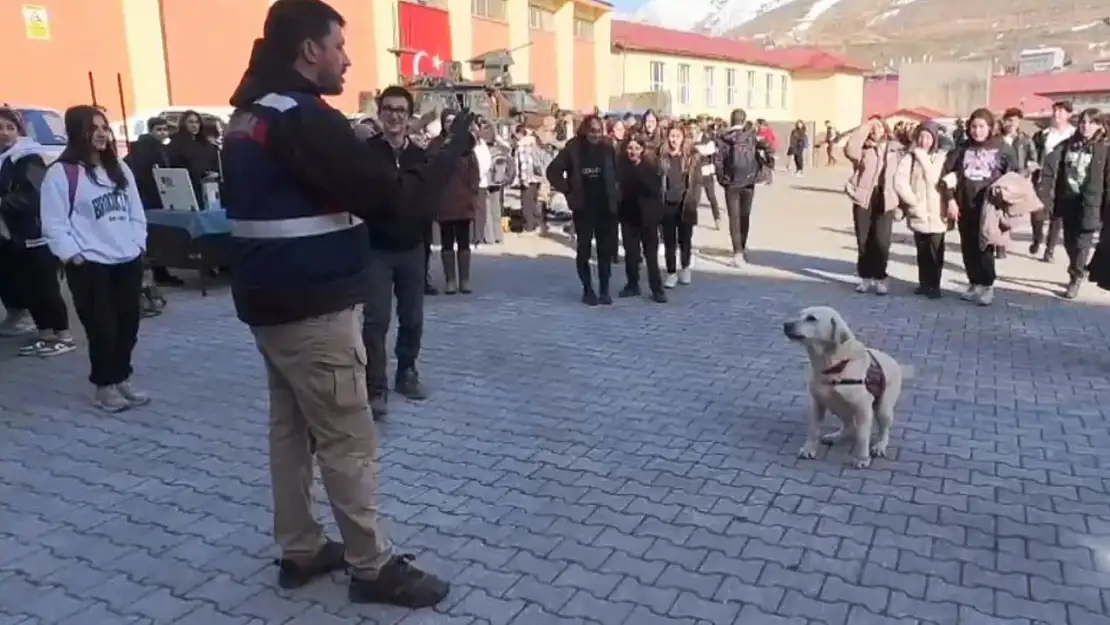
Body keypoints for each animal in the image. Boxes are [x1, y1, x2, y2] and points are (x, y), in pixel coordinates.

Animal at [785, 306, 905, 466]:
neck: (834, 365)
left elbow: (862, 436)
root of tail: (895, 362)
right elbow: (813, 429)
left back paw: (880, 446)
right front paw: (808, 449)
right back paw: (836, 436)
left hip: (883, 408)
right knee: (849, 425)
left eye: (811, 318)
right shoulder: (816, 402)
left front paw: (862, 458)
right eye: (799, 315)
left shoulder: (863, 409)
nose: (786, 324)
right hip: (837, 406)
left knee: (883, 430)